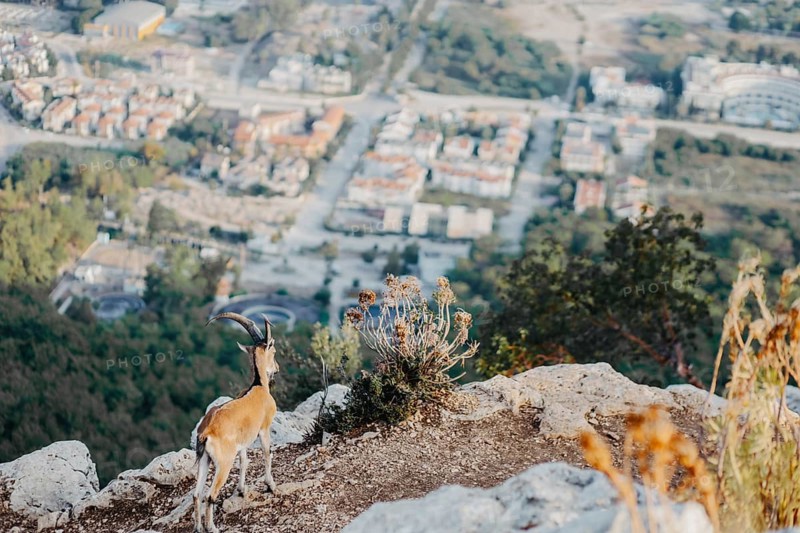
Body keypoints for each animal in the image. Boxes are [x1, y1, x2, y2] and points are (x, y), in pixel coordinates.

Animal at [193, 312, 280, 533]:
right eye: (274, 351)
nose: (276, 369)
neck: (258, 386)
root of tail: (206, 433)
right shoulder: (264, 429)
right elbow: (267, 453)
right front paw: (271, 485)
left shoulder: (242, 443)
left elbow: (244, 461)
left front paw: (241, 490)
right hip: (223, 463)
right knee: (210, 495)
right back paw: (212, 528)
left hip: (204, 459)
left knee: (196, 494)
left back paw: (198, 527)